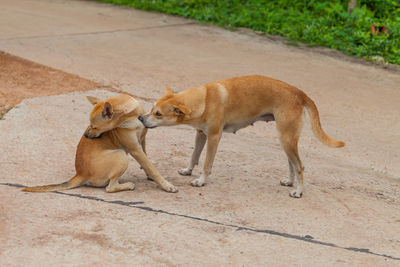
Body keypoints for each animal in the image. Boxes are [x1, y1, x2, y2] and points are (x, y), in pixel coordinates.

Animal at [22, 94, 177, 195]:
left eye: (94, 126)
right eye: (90, 125)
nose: (86, 135)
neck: (131, 115)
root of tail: (80, 174)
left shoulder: (142, 140)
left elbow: (148, 163)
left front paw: (151, 176)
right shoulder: (135, 149)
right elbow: (152, 167)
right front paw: (167, 185)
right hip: (121, 155)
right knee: (109, 188)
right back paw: (127, 185)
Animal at [139, 75, 346, 199]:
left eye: (158, 114)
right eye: (152, 108)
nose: (141, 118)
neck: (204, 99)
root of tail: (299, 93)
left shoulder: (214, 137)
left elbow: (206, 164)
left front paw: (200, 180)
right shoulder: (201, 134)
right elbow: (194, 156)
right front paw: (188, 170)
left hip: (287, 139)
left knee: (300, 166)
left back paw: (298, 191)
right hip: (286, 139)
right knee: (293, 165)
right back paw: (290, 182)